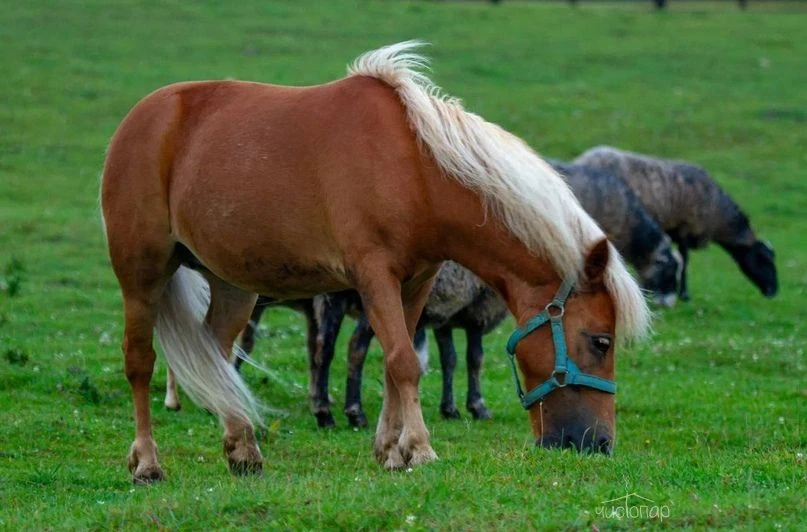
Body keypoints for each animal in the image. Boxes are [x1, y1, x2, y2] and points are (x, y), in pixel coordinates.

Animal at [102, 40, 652, 482]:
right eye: (600, 341)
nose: (599, 444)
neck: (416, 169)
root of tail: (140, 119)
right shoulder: (374, 276)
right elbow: (403, 361)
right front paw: (421, 449)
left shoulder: (417, 281)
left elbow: (396, 362)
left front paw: (391, 450)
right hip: (142, 272)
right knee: (139, 361)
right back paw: (147, 462)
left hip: (234, 285)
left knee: (216, 355)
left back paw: (242, 449)